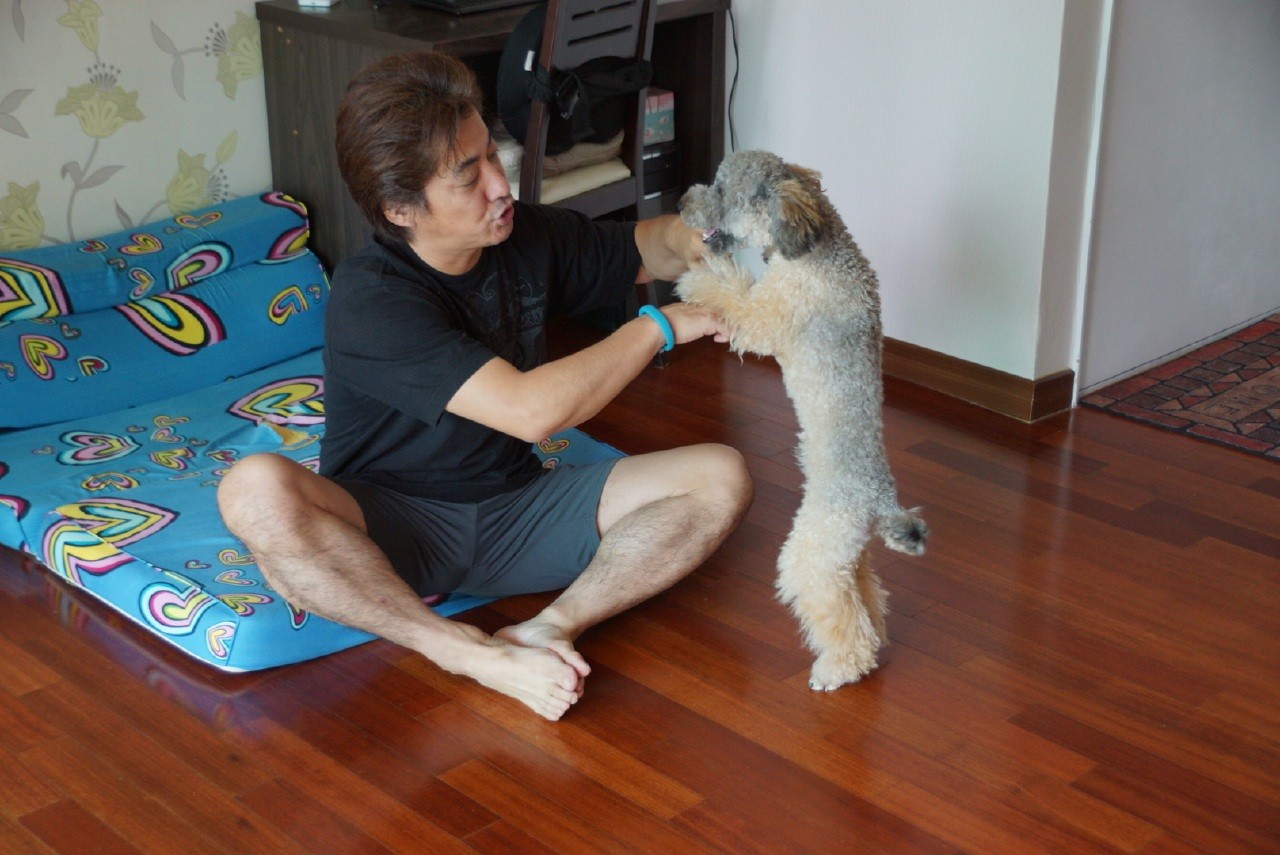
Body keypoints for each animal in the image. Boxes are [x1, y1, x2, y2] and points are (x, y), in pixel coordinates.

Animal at [675, 150, 927, 690]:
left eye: (722, 190)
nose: (681, 202)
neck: (814, 251)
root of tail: (879, 498)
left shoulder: (765, 318)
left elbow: (732, 292)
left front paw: (696, 279)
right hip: (845, 554)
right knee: (863, 599)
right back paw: (868, 643)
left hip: (808, 554)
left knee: (839, 615)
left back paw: (838, 669)